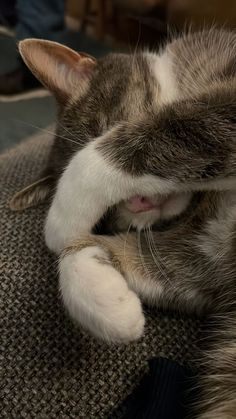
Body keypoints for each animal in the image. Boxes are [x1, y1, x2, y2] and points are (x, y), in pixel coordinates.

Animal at [10, 29, 236, 419]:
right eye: (107, 215)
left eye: (109, 129)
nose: (139, 202)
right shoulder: (210, 249)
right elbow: (179, 270)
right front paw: (111, 304)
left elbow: (183, 126)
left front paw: (60, 218)